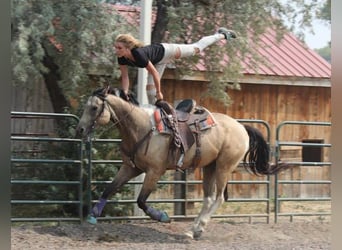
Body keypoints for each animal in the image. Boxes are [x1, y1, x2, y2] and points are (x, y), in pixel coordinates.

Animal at [76, 86, 288, 240]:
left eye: (94, 108)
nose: (80, 130)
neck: (141, 127)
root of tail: (241, 127)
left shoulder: (154, 171)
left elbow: (141, 201)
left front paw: (162, 216)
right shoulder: (131, 168)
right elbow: (108, 189)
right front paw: (93, 214)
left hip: (224, 167)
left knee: (218, 198)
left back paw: (199, 228)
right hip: (210, 167)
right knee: (209, 198)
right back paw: (192, 229)